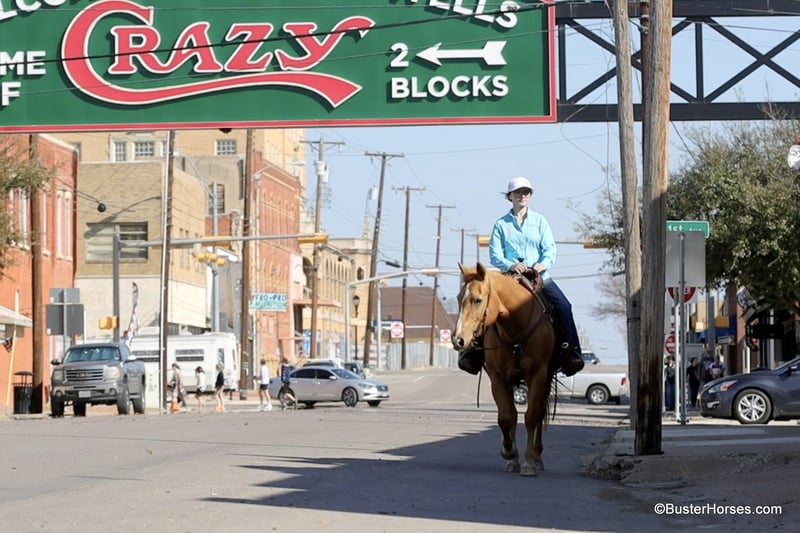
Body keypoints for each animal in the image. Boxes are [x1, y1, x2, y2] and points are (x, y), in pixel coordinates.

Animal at [452, 262, 557, 476]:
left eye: (477, 300)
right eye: (459, 298)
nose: (458, 340)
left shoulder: (538, 375)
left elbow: (532, 416)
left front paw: (528, 462)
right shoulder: (498, 378)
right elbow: (506, 416)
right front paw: (509, 453)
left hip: (546, 379)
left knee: (540, 412)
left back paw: (537, 457)